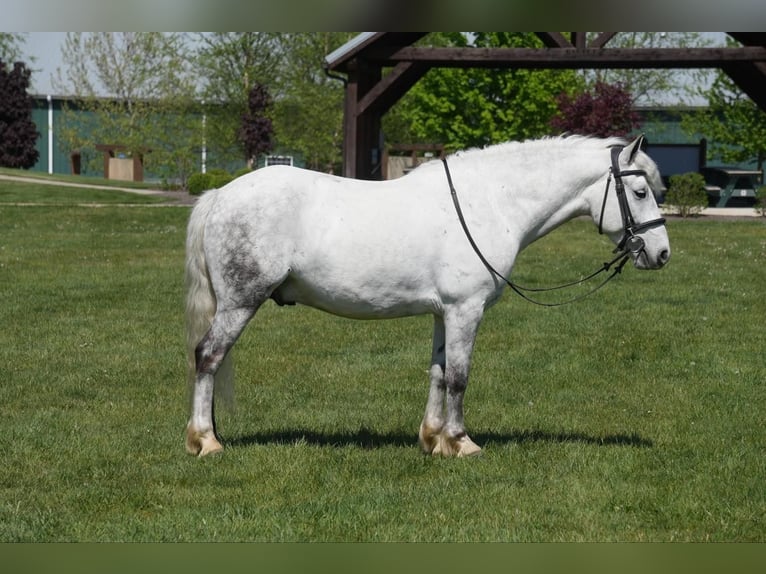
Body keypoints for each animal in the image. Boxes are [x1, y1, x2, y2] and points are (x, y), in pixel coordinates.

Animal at [188, 134, 672, 460]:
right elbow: (459, 376)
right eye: (640, 192)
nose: (661, 253)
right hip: (240, 303)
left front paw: (433, 439)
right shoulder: (466, 310)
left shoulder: (446, 313)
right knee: (208, 357)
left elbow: (438, 373)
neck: (490, 203)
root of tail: (220, 195)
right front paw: (461, 442)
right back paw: (205, 440)